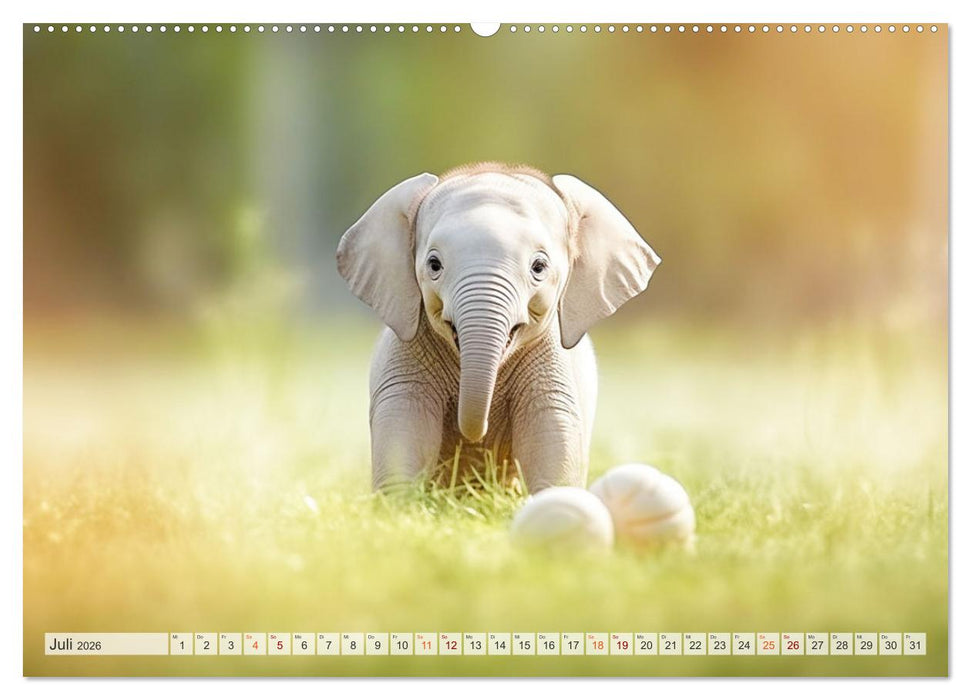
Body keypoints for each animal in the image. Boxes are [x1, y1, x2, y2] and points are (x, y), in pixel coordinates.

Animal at [337, 162, 660, 492]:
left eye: (539, 267)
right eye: (434, 265)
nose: (476, 436)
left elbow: (550, 443)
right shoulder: (404, 363)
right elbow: (403, 438)